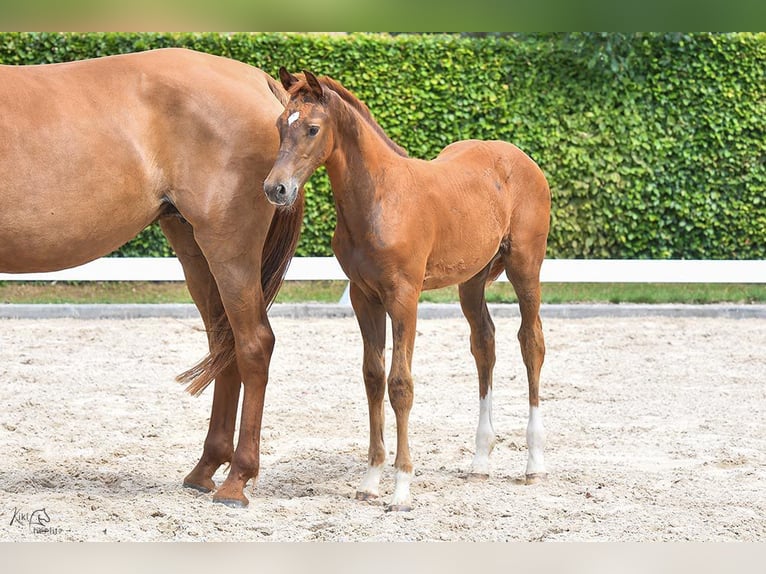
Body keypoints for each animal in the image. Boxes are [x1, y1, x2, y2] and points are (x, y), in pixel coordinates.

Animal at [0, 48, 306, 508]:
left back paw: (236, 480)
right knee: (225, 344)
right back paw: (205, 469)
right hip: (194, 247)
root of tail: (256, 79)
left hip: (228, 247)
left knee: (253, 344)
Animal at [266, 70, 552, 516]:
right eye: (281, 125)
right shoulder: (363, 297)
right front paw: (370, 481)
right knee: (484, 344)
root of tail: (522, 159)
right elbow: (373, 377)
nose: (275, 189)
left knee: (531, 343)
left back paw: (534, 463)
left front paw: (401, 488)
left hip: (526, 267)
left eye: (312, 128)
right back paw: (480, 461)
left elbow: (400, 384)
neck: (379, 198)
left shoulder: (404, 298)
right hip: (471, 281)